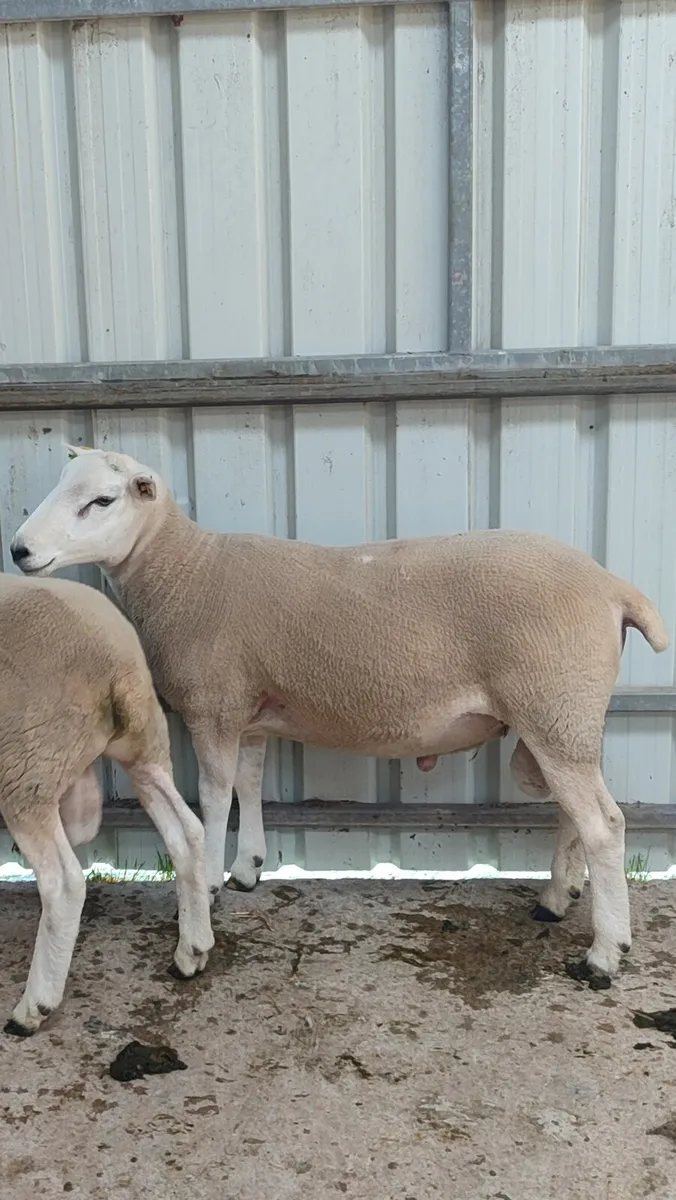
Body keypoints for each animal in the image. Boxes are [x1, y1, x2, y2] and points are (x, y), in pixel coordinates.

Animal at [0, 570, 214, 1036]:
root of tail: (118, 663)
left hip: (27, 765)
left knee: (64, 883)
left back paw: (33, 1008)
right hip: (144, 746)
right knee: (188, 832)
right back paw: (191, 951)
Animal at [10, 446, 669, 989]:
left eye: (102, 500)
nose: (19, 550)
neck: (184, 570)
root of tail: (614, 587)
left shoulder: (213, 705)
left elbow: (215, 797)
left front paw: (214, 883)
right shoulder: (251, 711)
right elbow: (250, 784)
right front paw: (249, 868)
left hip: (552, 706)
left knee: (605, 825)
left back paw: (604, 955)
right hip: (561, 717)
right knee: (574, 812)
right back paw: (557, 898)